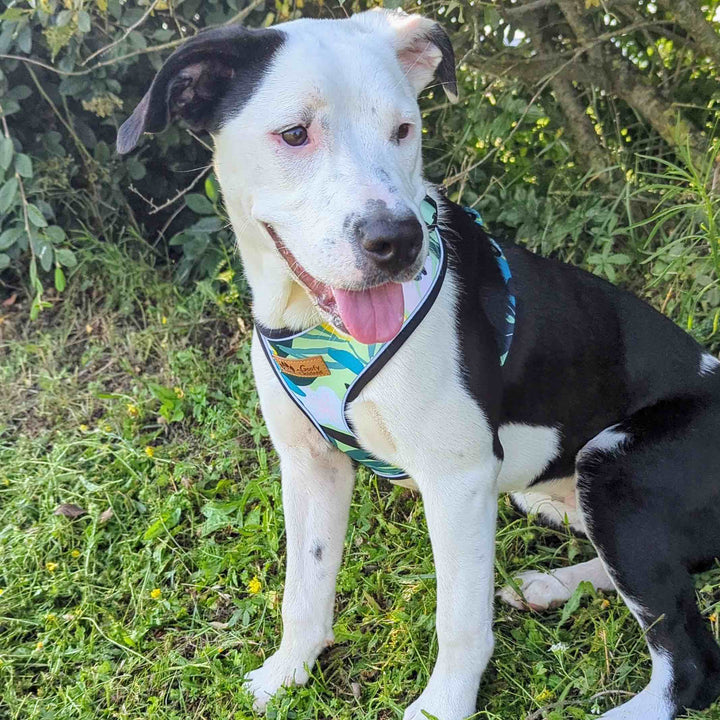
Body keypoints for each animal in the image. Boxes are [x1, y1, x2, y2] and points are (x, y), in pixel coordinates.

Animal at [118, 9, 720, 720]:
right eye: (294, 134)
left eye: (403, 130)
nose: (396, 241)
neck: (317, 329)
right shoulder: (309, 464)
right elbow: (305, 584)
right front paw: (288, 671)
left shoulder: (456, 480)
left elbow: (460, 619)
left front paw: (443, 705)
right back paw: (552, 585)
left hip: (612, 465)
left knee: (690, 661)